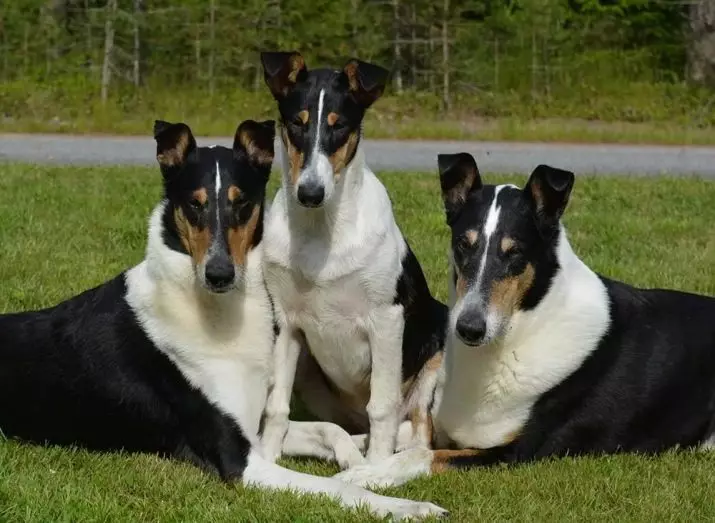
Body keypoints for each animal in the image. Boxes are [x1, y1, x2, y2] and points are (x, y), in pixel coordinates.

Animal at [0, 121, 448, 520]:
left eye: (242, 201)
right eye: (193, 203)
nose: (219, 274)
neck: (218, 315)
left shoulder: (255, 430)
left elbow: (329, 430)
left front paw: (362, 462)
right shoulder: (239, 459)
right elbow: (335, 486)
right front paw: (409, 506)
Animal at [258, 50, 448, 466]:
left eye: (339, 126)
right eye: (296, 124)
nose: (310, 193)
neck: (320, 231)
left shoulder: (387, 320)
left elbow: (383, 408)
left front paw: (373, 470)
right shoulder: (286, 322)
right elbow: (276, 405)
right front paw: (266, 458)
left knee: (416, 432)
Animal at [334, 154, 715, 490]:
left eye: (514, 251)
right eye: (463, 244)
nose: (469, 328)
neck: (518, 333)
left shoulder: (511, 452)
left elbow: (421, 456)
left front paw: (365, 475)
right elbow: (400, 435)